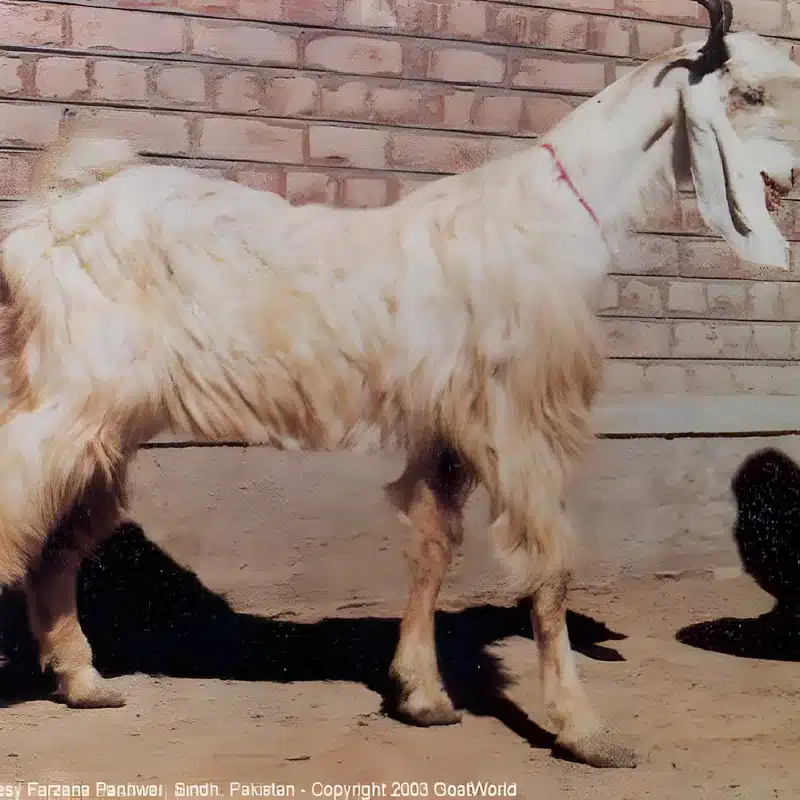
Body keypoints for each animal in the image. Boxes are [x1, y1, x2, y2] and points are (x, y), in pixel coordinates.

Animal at [1, 0, 799, 770]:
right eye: (748, 94)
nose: (788, 181)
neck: (552, 216)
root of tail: (46, 214)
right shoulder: (517, 418)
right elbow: (549, 567)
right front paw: (585, 730)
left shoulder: (448, 426)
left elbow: (432, 546)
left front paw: (421, 694)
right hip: (71, 396)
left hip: (104, 420)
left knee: (59, 541)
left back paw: (82, 679)